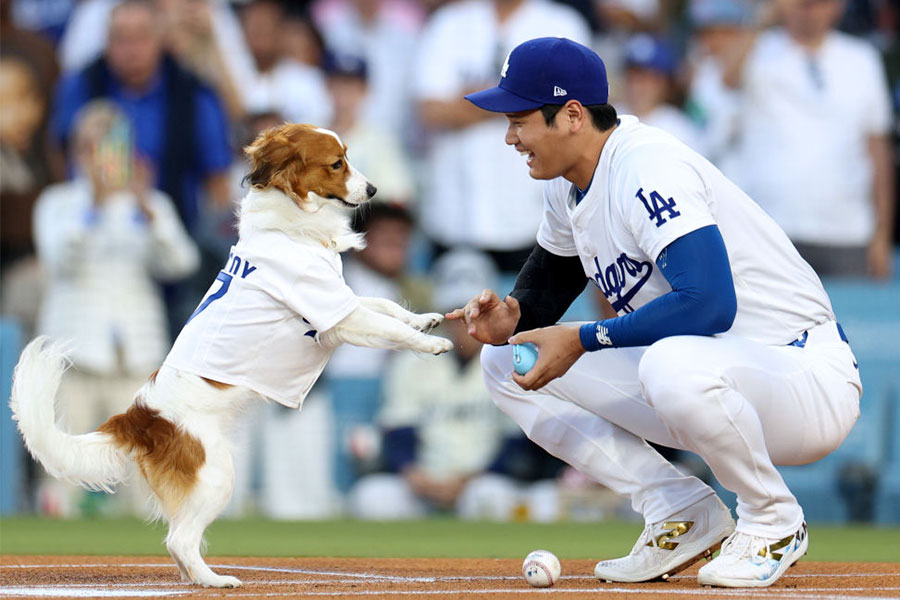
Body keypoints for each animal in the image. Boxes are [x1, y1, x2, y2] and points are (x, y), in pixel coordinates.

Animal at [10, 122, 454, 584]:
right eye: (337, 163)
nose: (374, 189)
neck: (290, 225)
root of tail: (138, 417)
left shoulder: (341, 302)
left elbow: (386, 306)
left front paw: (426, 320)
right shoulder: (336, 317)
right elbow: (387, 325)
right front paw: (431, 344)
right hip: (216, 475)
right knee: (179, 540)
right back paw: (214, 580)